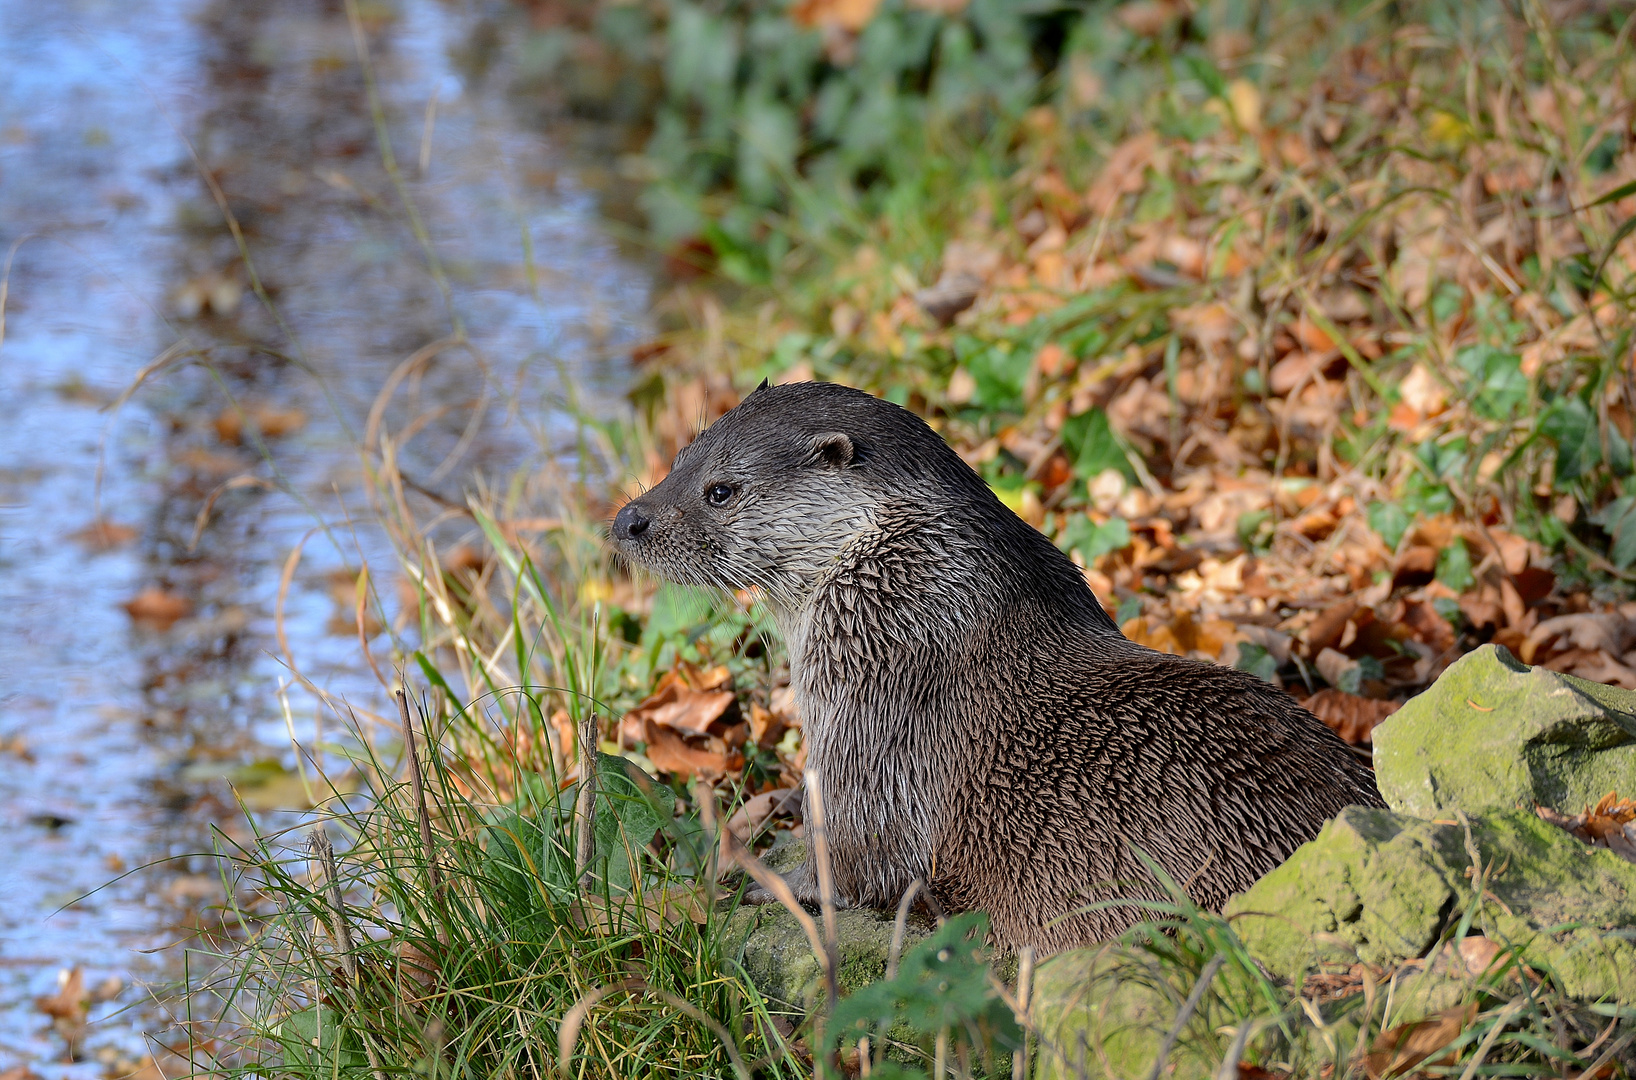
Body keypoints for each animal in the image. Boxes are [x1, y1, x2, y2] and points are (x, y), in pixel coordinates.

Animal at [615, 381, 1380, 955]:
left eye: (720, 490)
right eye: (678, 457)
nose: (628, 519)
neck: (905, 588)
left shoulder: (874, 713)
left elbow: (862, 858)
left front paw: (773, 884)